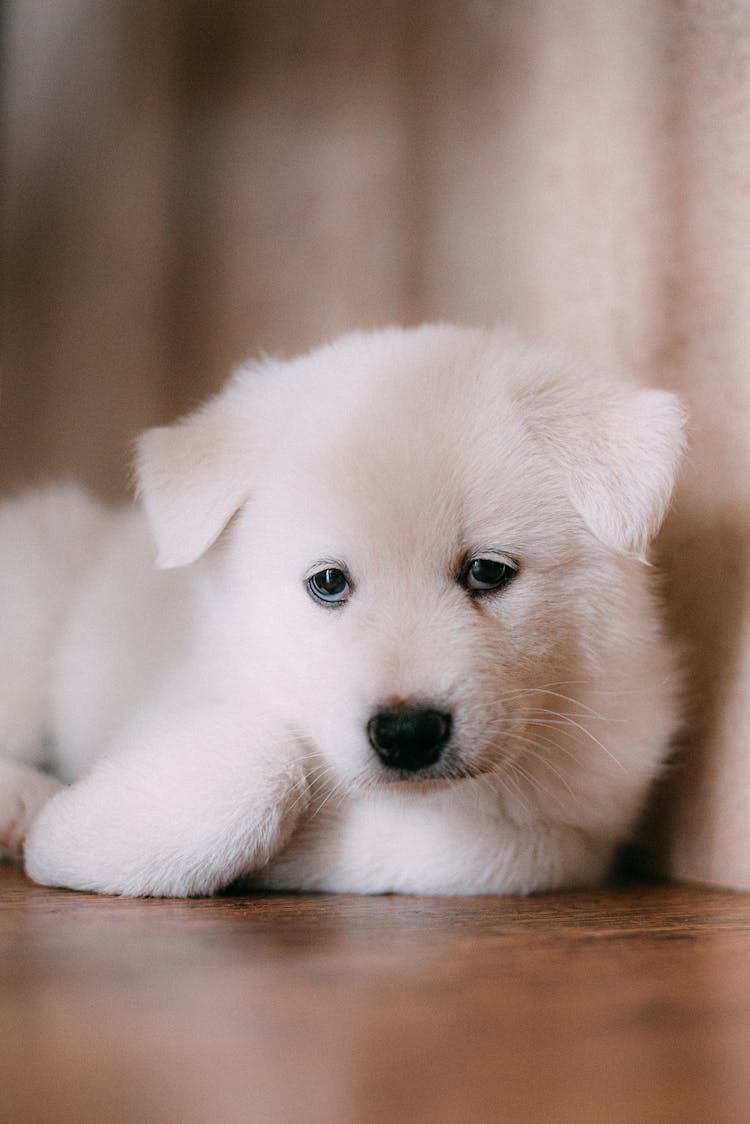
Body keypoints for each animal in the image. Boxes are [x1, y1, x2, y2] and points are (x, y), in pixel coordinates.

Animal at [0, 325, 688, 894]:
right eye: (328, 582)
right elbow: (260, 761)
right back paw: (25, 803)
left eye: (488, 571)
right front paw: (74, 833)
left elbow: (492, 849)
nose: (407, 734)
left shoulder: (583, 814)